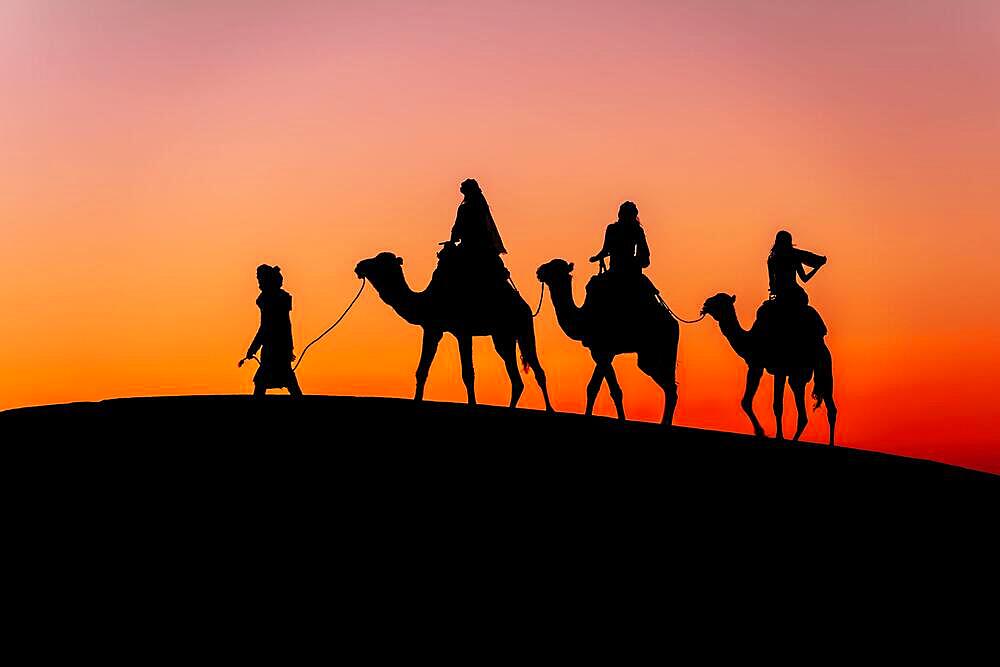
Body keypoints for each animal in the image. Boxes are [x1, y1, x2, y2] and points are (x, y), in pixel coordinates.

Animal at [354, 250, 556, 410]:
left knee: (537, 369)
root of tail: (524, 305)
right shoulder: (433, 329)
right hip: (503, 336)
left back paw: (550, 410)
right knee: (516, 377)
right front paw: (417, 401)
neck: (426, 301)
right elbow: (422, 371)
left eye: (380, 261)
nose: (359, 266)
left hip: (524, 328)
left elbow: (468, 372)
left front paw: (472, 405)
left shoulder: (463, 330)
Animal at [532, 258, 680, 426]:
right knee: (670, 387)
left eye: (553, 267)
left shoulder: (604, 351)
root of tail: (674, 323)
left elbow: (609, 390)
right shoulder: (598, 352)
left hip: (657, 349)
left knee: (670, 387)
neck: (583, 318)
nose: (539, 271)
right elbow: (597, 388)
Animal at [704, 294, 836, 446]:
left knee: (828, 409)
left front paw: (770, 434)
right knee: (807, 413)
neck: (751, 341)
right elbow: (747, 401)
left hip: (823, 367)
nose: (706, 304)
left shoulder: (772, 369)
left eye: (720, 301)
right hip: (802, 376)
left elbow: (775, 405)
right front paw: (764, 433)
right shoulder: (758, 366)